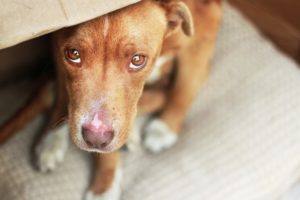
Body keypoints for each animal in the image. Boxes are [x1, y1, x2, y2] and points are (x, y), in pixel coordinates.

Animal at [0, 0, 221, 199]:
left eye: (137, 60)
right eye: (73, 54)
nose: (95, 138)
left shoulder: (202, 32)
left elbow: (184, 86)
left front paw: (164, 128)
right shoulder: (56, 43)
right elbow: (65, 94)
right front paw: (104, 183)